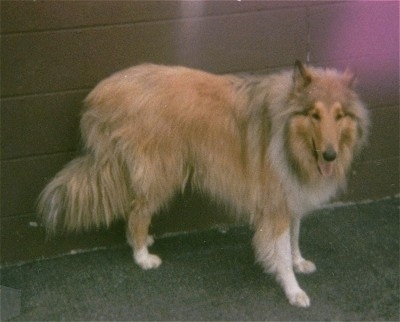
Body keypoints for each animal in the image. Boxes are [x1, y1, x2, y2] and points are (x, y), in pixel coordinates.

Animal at [37, 60, 368, 306]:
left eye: (340, 115)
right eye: (314, 114)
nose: (330, 155)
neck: (288, 133)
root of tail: (106, 89)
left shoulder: (292, 195)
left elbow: (294, 238)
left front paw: (299, 263)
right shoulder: (276, 203)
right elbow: (281, 250)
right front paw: (293, 290)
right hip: (161, 171)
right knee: (137, 212)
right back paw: (142, 256)